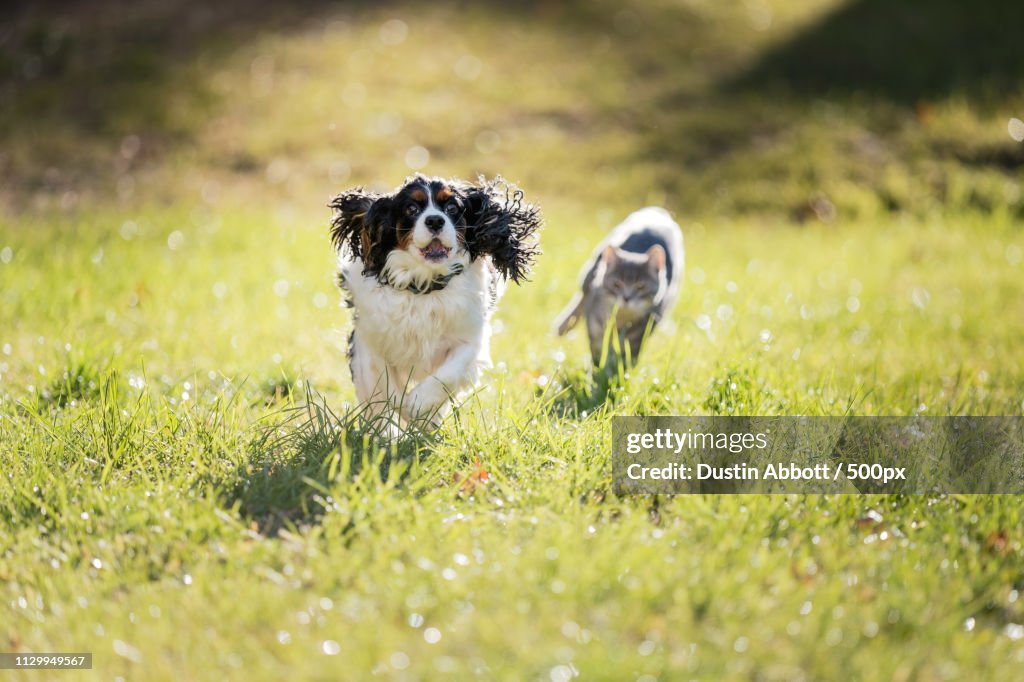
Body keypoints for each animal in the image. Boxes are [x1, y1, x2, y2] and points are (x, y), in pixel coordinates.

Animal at [329, 175, 540, 430]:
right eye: (411, 208)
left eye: (452, 208)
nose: (435, 220)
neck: (424, 285)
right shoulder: (368, 343)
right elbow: (383, 391)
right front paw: (388, 429)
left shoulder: (470, 341)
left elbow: (447, 376)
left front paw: (419, 406)